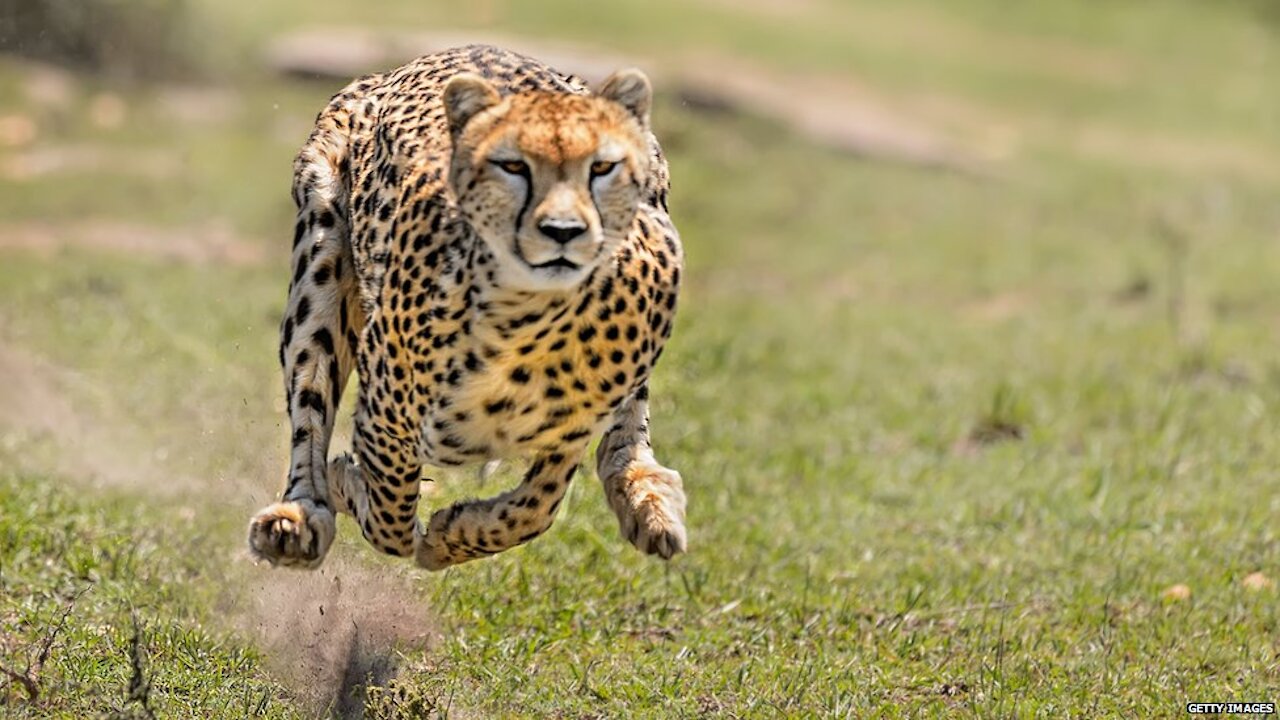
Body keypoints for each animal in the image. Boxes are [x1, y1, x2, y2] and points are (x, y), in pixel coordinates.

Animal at [250, 46, 691, 571]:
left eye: (601, 169)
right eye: (513, 167)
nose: (563, 230)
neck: (530, 322)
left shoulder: (572, 429)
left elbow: (536, 507)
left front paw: (452, 534)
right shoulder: (386, 416)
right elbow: (389, 515)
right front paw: (352, 488)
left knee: (628, 429)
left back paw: (648, 499)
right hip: (321, 260)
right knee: (310, 407)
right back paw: (298, 516)